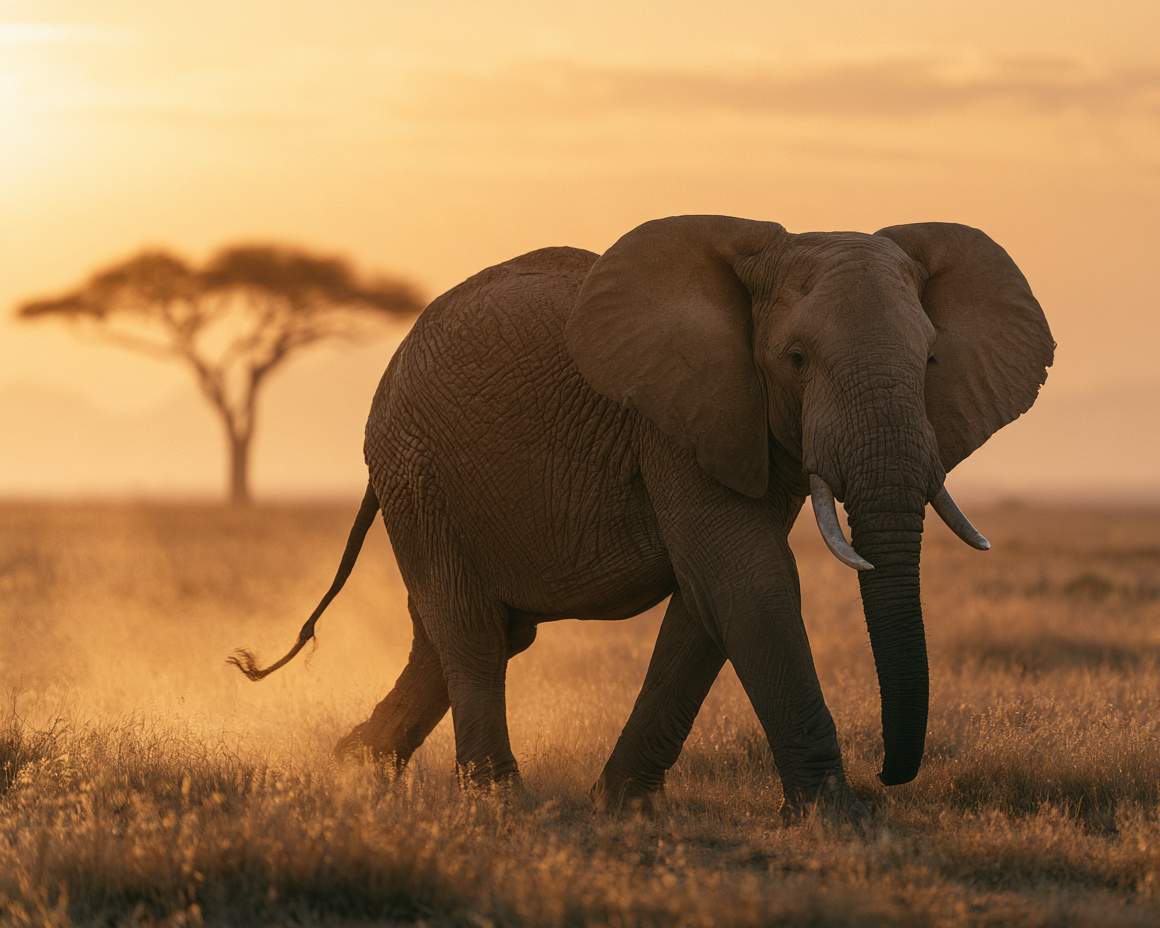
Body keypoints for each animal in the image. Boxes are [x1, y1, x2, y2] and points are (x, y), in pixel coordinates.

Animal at [231, 215, 1053, 819]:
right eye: (795, 359)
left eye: (930, 362)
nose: (891, 775)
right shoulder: (677, 420)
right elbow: (748, 580)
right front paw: (838, 820)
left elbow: (707, 602)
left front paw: (621, 806)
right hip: (418, 469)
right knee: (470, 628)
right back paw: (499, 801)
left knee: (467, 633)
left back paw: (351, 773)